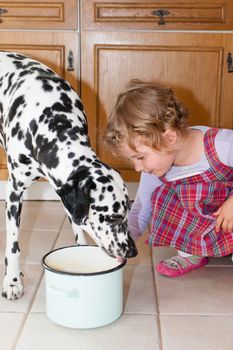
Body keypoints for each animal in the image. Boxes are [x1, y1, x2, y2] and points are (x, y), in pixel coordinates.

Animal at [0, 51, 137, 300]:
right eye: (112, 217)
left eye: (128, 212)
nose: (132, 251)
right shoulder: (14, 191)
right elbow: (13, 245)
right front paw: (12, 281)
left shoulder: (63, 191)